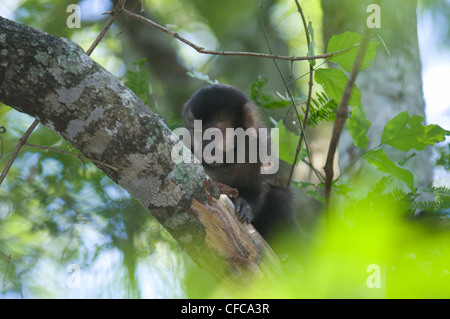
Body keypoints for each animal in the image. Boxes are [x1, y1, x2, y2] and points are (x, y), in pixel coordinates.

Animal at [181, 84, 298, 244]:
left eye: (214, 134)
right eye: (198, 132)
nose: (206, 148)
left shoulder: (260, 145)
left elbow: (258, 186)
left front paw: (244, 203)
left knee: (279, 197)